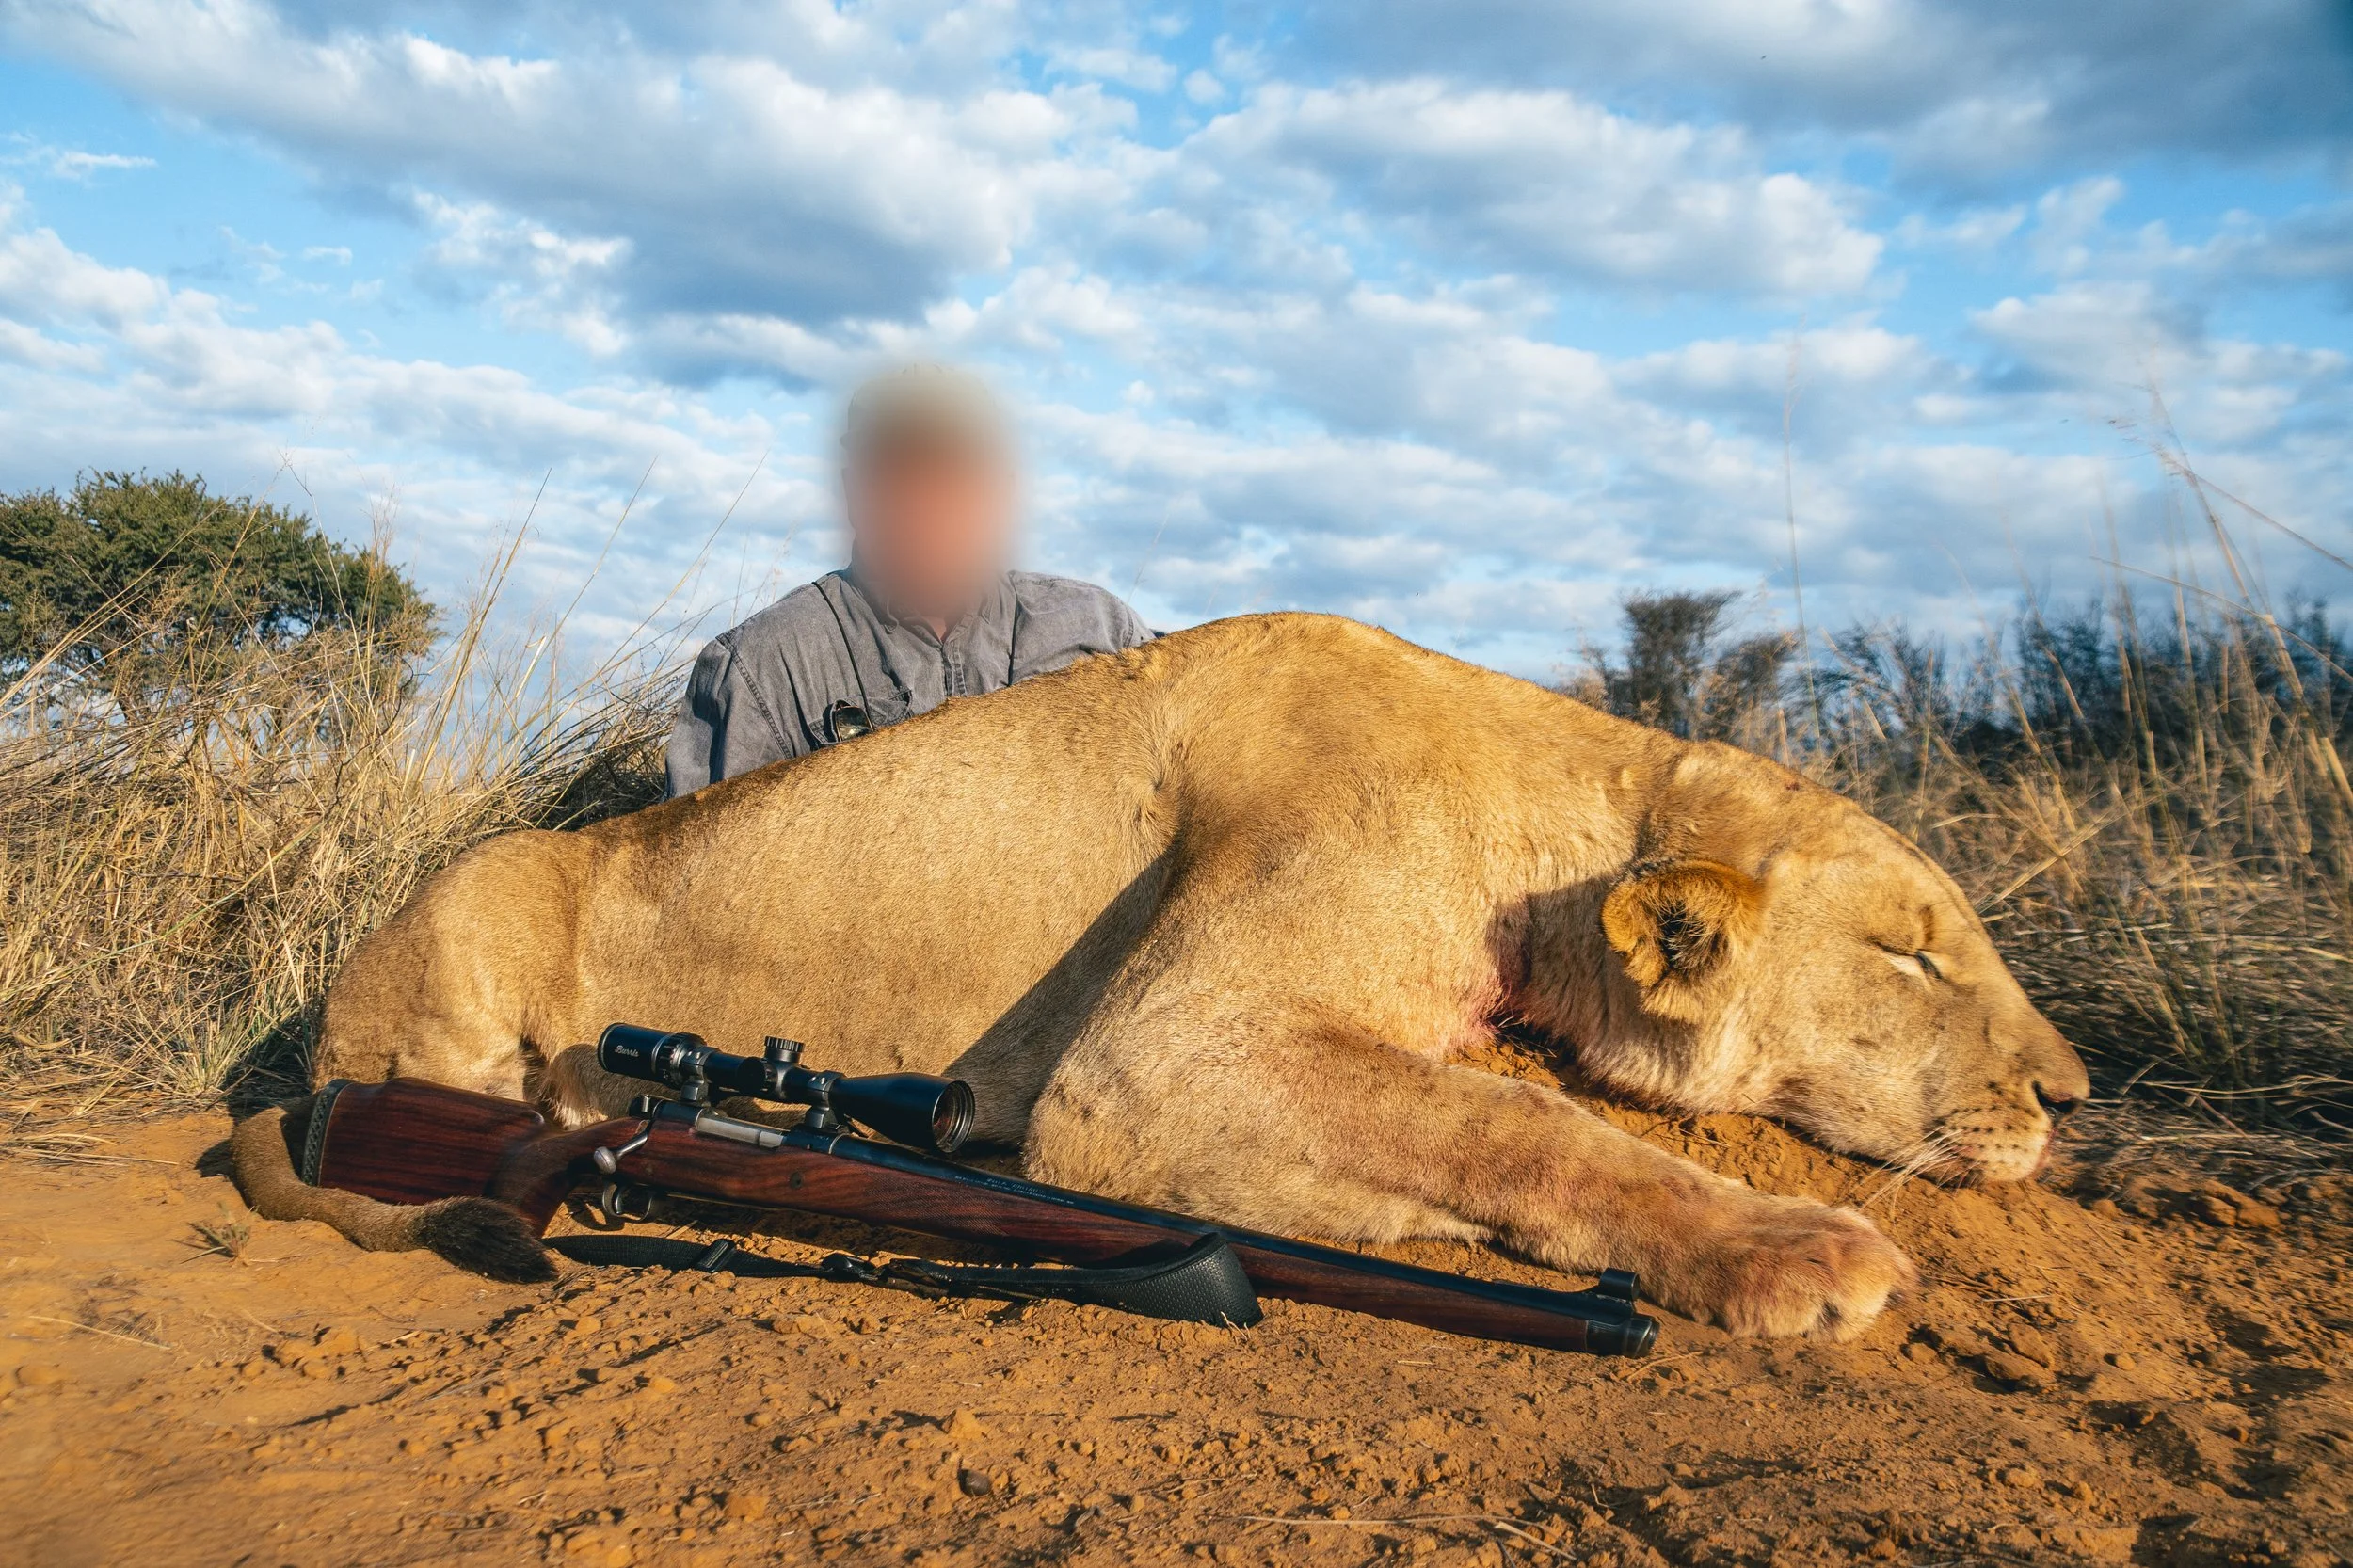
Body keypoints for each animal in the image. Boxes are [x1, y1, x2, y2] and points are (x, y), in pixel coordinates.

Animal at [233, 613, 2088, 1340]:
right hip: (471, 921)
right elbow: (1516, 1124)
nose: (2072, 1098)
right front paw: (1798, 1252)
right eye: (1915, 947)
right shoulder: (1148, 1073)